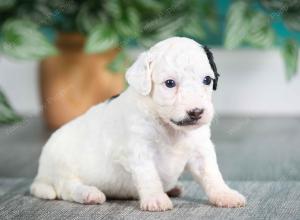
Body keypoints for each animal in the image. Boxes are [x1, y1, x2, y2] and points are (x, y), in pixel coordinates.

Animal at [30, 36, 246, 211]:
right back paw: (89, 193)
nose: (196, 112)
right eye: (169, 83)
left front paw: (225, 194)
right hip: (63, 169)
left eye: (207, 80)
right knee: (67, 188)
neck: (169, 127)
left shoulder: (201, 150)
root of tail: (40, 175)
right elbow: (149, 176)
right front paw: (156, 199)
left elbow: (212, 174)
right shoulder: (140, 151)